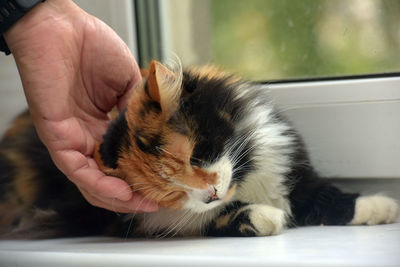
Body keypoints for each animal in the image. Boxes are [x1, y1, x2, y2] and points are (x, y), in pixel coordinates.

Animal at [0, 61, 400, 240]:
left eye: (196, 156)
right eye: (170, 193)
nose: (209, 194)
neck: (245, 181)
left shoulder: (289, 168)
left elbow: (326, 195)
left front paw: (381, 207)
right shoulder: (146, 220)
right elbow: (220, 217)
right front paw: (267, 218)